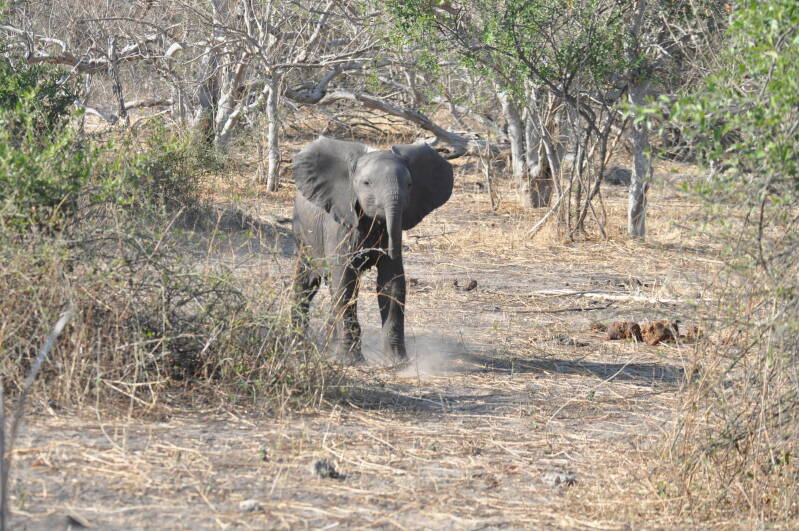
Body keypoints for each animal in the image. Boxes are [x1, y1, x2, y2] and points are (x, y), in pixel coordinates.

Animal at [291, 136, 454, 365]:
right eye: (367, 183)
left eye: (410, 185)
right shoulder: (340, 223)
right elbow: (345, 280)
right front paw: (351, 362)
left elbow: (391, 284)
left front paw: (397, 363)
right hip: (303, 233)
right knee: (306, 282)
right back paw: (299, 348)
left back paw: (328, 349)